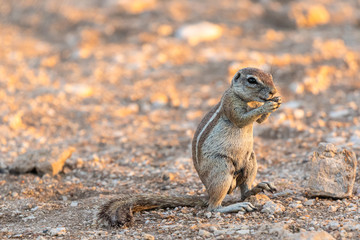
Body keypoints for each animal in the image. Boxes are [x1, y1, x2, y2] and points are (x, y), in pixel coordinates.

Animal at [97, 67, 282, 227]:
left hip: (250, 160)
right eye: (252, 80)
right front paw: (267, 105)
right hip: (221, 170)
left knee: (244, 191)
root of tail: (208, 191)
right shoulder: (230, 105)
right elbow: (242, 118)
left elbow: (259, 120)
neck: (245, 99)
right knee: (213, 207)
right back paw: (235, 206)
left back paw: (258, 188)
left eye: (270, 76)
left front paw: (276, 101)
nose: (273, 91)